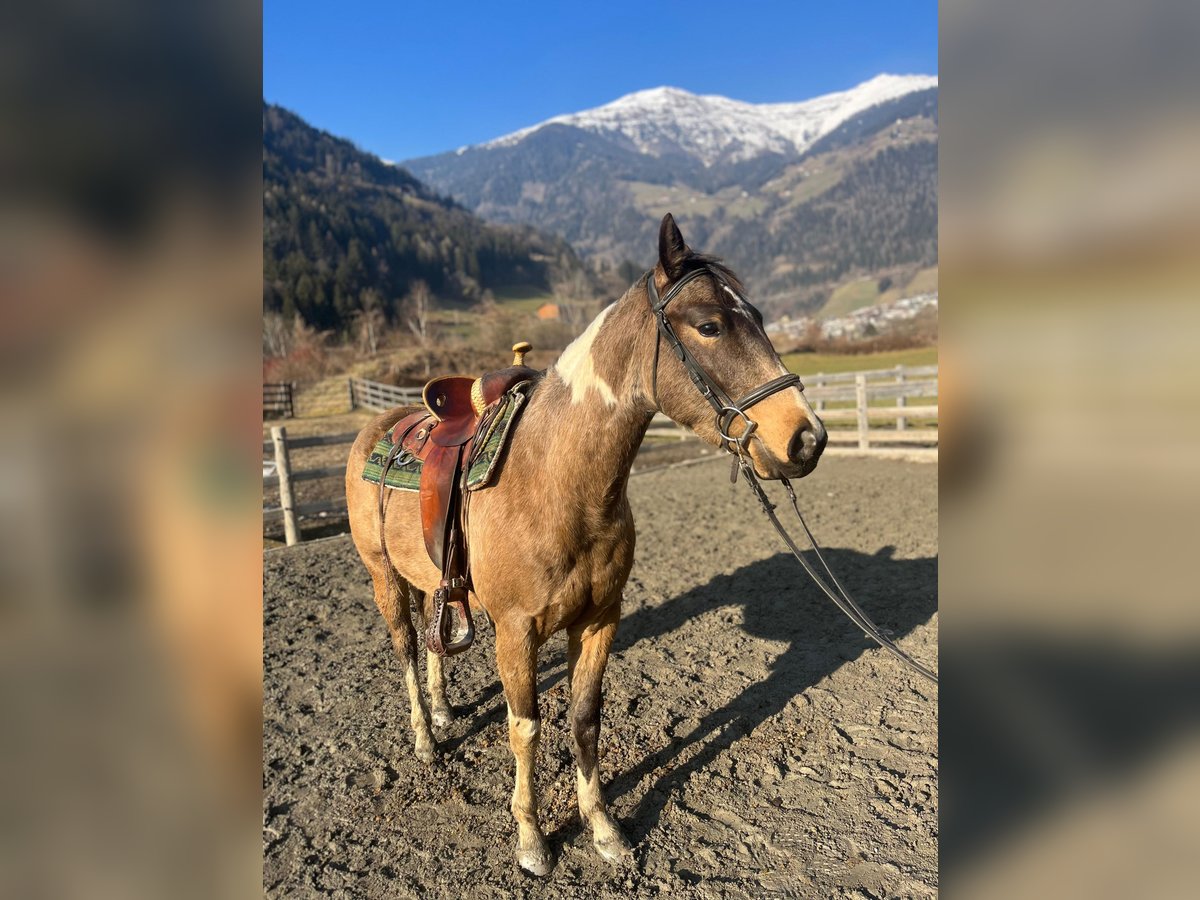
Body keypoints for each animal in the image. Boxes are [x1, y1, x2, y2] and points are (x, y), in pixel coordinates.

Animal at [343, 214, 820, 878]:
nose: (807, 438)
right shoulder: (516, 631)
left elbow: (584, 720)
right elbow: (526, 729)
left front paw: (603, 828)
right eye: (710, 325)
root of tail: (378, 427)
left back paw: (441, 712)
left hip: (430, 579)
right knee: (408, 649)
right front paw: (532, 840)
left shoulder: (599, 619)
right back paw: (425, 739)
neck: (555, 482)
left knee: (434, 641)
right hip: (381, 575)